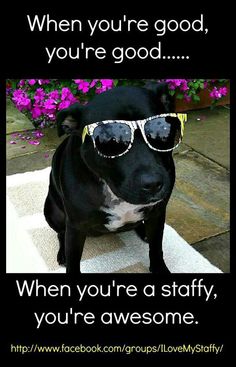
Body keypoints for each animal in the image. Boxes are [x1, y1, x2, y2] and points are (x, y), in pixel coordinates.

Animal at [44, 82, 183, 274]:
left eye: (162, 129)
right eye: (109, 140)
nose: (153, 183)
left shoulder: (157, 213)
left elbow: (156, 247)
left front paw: (159, 269)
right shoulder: (76, 225)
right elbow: (73, 260)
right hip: (52, 211)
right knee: (60, 233)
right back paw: (62, 252)